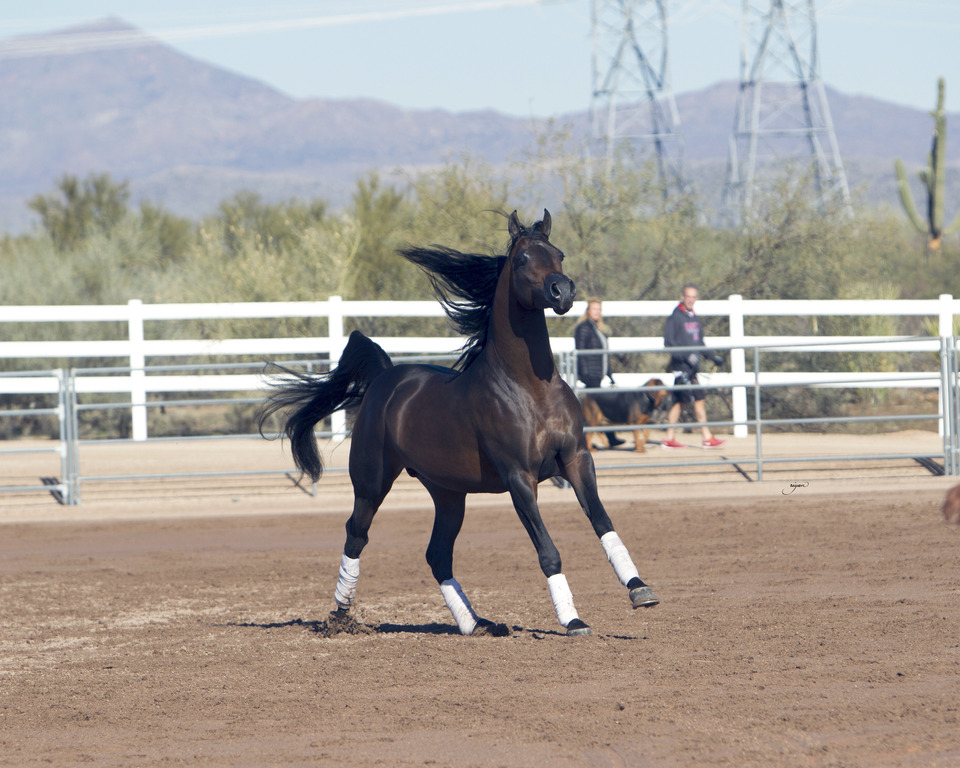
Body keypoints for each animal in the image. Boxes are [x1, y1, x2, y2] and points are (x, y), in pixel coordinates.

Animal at [259, 209, 658, 636]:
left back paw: (476, 623)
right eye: (522, 258)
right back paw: (340, 616)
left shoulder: (577, 459)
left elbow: (602, 520)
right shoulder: (520, 477)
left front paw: (640, 589)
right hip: (371, 482)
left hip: (448, 494)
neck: (530, 387)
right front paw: (573, 620)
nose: (562, 291)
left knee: (437, 554)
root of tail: (385, 377)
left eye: (559, 254)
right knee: (356, 534)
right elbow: (548, 551)